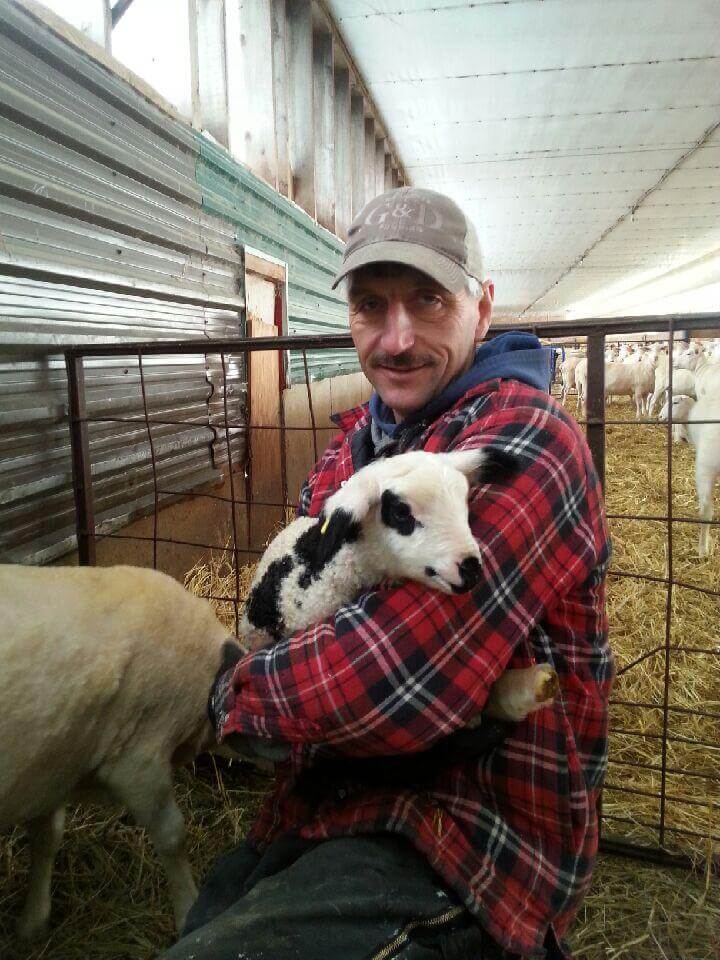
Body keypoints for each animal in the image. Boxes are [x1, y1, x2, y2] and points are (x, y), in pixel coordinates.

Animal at [0, 568, 239, 940]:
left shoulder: (46, 769)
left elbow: (45, 838)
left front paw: (32, 923)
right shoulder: (138, 758)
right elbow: (172, 836)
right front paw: (189, 912)